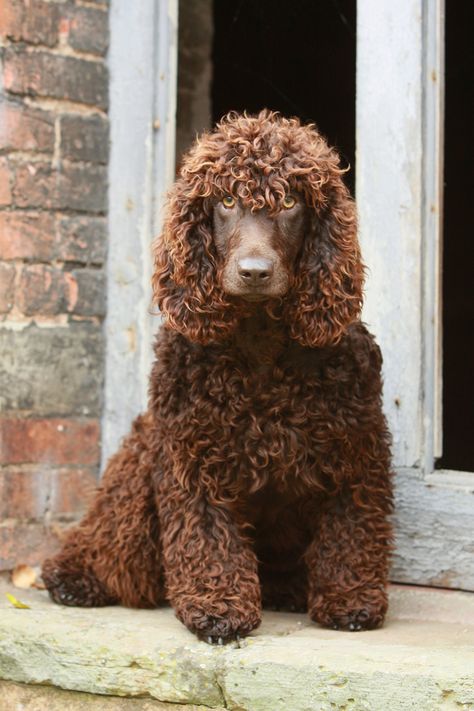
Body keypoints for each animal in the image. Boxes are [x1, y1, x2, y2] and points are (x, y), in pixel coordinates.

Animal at [43, 110, 392, 644]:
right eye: (226, 201)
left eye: (289, 202)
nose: (254, 271)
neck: (261, 340)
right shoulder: (191, 457)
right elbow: (207, 536)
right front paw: (218, 607)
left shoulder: (355, 451)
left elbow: (351, 529)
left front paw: (350, 599)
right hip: (141, 456)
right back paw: (73, 577)